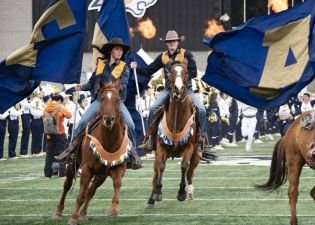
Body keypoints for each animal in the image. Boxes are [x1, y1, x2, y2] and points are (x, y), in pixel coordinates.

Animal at [53, 81, 129, 225]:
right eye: (102, 98)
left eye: (117, 100)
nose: (108, 119)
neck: (108, 142)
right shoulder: (86, 169)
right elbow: (80, 195)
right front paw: (73, 217)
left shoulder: (118, 167)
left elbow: (117, 184)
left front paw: (113, 210)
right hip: (74, 165)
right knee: (67, 185)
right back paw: (59, 211)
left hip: (100, 175)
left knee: (90, 191)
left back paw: (83, 214)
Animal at [146, 61, 202, 207]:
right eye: (171, 72)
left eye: (186, 72)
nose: (178, 88)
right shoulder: (161, 148)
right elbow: (161, 167)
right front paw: (158, 193)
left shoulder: (189, 147)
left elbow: (184, 166)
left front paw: (181, 193)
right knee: (155, 174)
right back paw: (151, 199)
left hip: (197, 155)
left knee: (190, 173)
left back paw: (189, 192)